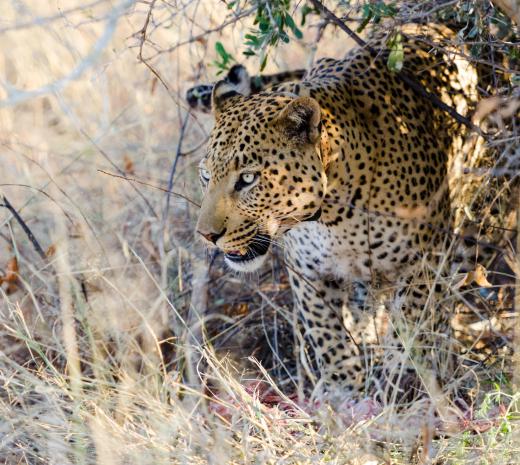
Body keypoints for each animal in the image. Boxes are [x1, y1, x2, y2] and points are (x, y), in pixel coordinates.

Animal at [190, 23, 480, 396]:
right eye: (206, 176)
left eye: (249, 178)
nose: (206, 235)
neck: (331, 218)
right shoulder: (308, 272)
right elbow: (328, 335)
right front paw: (346, 391)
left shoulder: (425, 258)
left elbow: (408, 325)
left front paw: (397, 385)